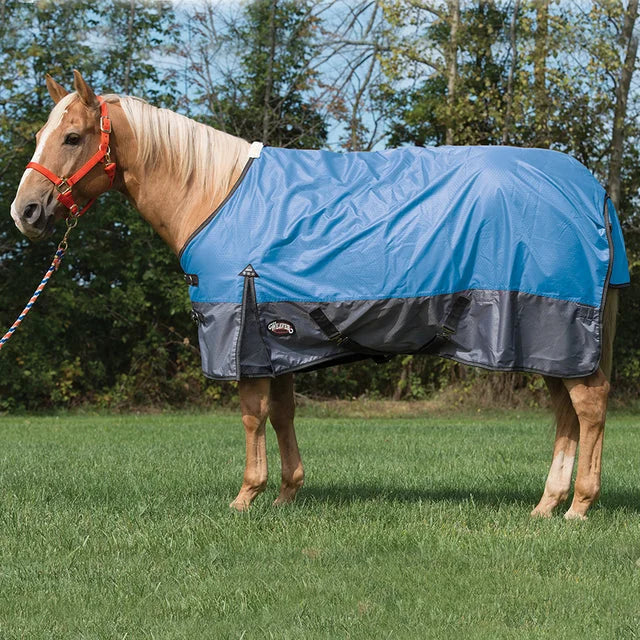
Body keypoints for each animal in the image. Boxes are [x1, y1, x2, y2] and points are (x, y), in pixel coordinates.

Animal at [10, 70, 623, 520]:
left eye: (72, 137)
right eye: (40, 136)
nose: (26, 212)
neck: (214, 194)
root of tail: (592, 193)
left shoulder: (241, 332)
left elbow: (253, 416)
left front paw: (245, 498)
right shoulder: (275, 337)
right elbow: (282, 414)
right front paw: (286, 493)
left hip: (555, 327)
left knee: (588, 409)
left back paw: (578, 508)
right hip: (550, 342)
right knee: (566, 415)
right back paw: (547, 505)